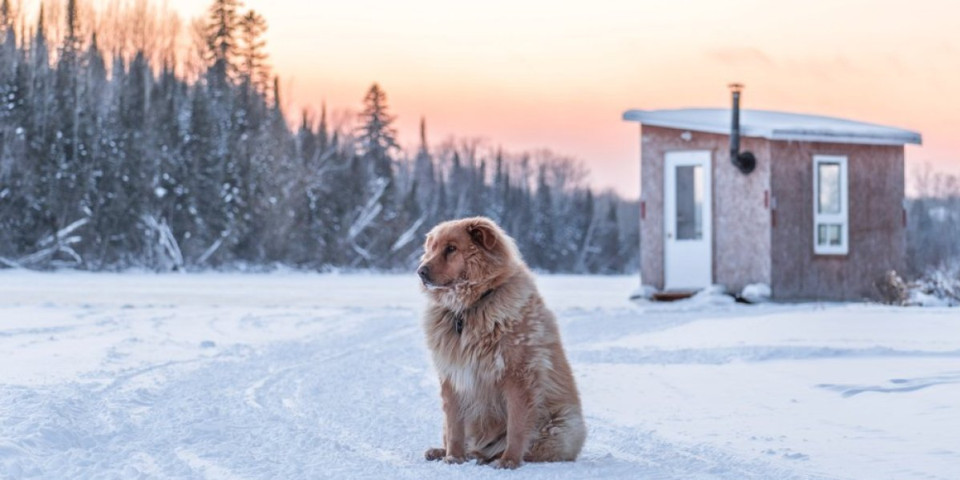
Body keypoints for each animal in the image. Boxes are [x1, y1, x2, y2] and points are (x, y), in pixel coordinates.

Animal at [418, 217, 584, 468]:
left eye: (451, 248)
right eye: (432, 248)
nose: (420, 271)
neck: (470, 307)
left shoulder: (518, 375)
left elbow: (516, 426)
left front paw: (509, 461)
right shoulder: (453, 376)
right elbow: (454, 425)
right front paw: (453, 457)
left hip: (561, 427)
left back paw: (488, 457)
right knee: (464, 440)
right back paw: (445, 451)